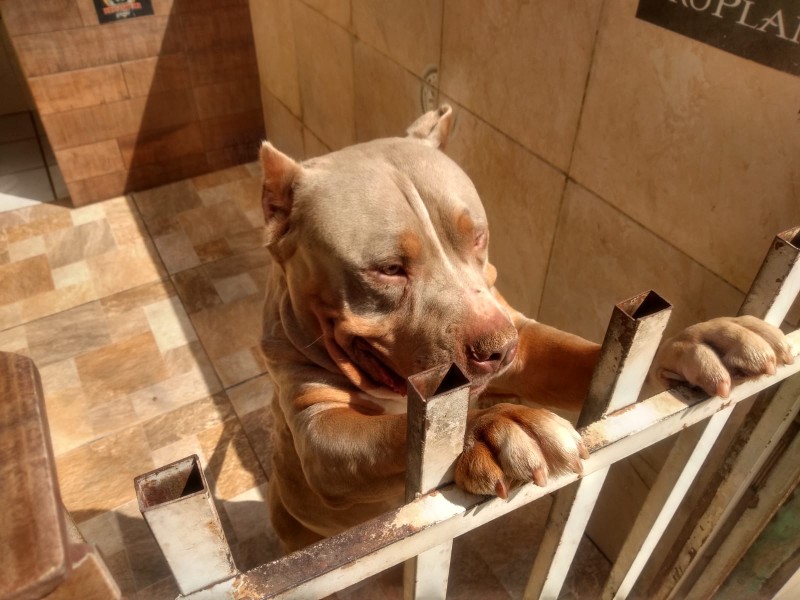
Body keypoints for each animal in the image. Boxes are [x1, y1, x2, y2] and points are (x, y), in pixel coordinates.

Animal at [258, 105, 794, 552]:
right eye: (388, 269)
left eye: (479, 236)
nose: (498, 349)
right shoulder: (319, 428)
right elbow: (383, 435)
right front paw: (491, 429)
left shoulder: (525, 336)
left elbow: (586, 352)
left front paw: (702, 340)